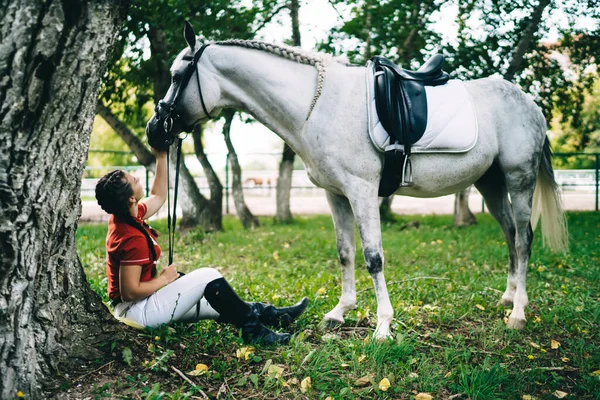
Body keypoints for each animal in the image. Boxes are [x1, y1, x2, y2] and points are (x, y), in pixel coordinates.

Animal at [145, 23, 568, 340]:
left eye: (177, 76)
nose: (154, 129)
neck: (316, 106)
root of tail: (529, 103)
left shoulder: (362, 192)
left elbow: (373, 257)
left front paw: (383, 326)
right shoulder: (336, 195)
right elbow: (345, 253)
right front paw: (340, 311)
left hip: (519, 180)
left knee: (524, 238)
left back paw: (518, 313)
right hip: (491, 184)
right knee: (510, 234)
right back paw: (508, 298)